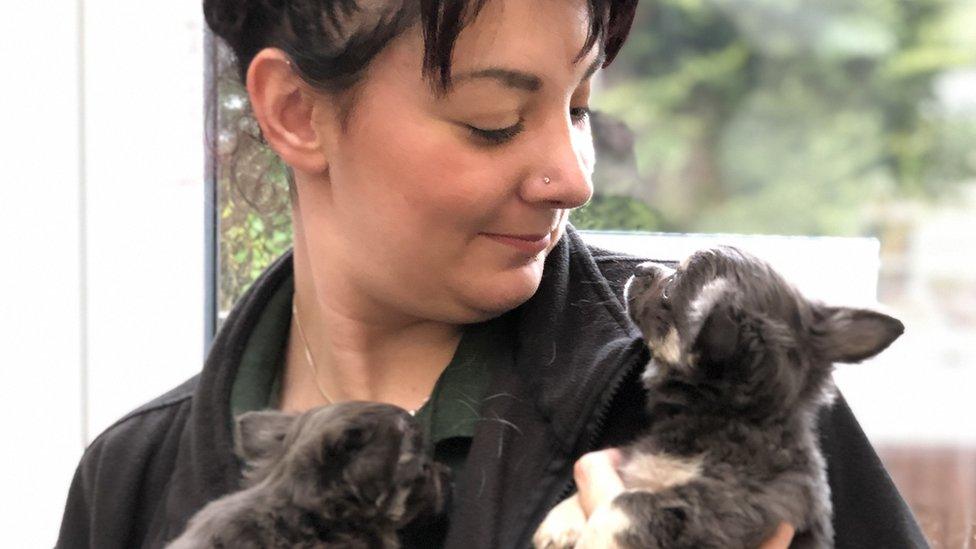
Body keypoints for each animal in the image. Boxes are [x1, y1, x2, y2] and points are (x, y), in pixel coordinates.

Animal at [536, 246, 904, 544]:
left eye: (671, 288)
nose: (641, 267)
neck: (728, 417)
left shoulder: (731, 504)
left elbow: (628, 503)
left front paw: (595, 536)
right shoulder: (637, 463)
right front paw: (561, 520)